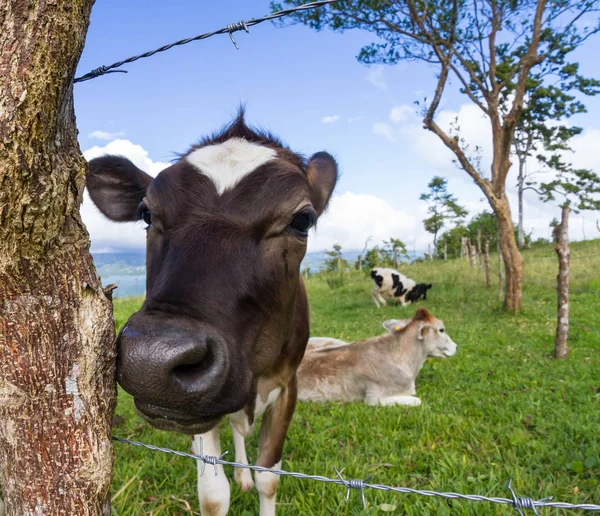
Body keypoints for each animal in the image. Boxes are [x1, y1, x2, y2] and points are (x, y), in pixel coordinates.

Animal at [85, 113, 338, 516]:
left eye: (302, 220)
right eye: (147, 213)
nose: (151, 359)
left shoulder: (288, 383)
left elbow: (270, 478)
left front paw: (256, 478)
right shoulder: (195, 411)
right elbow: (214, 493)